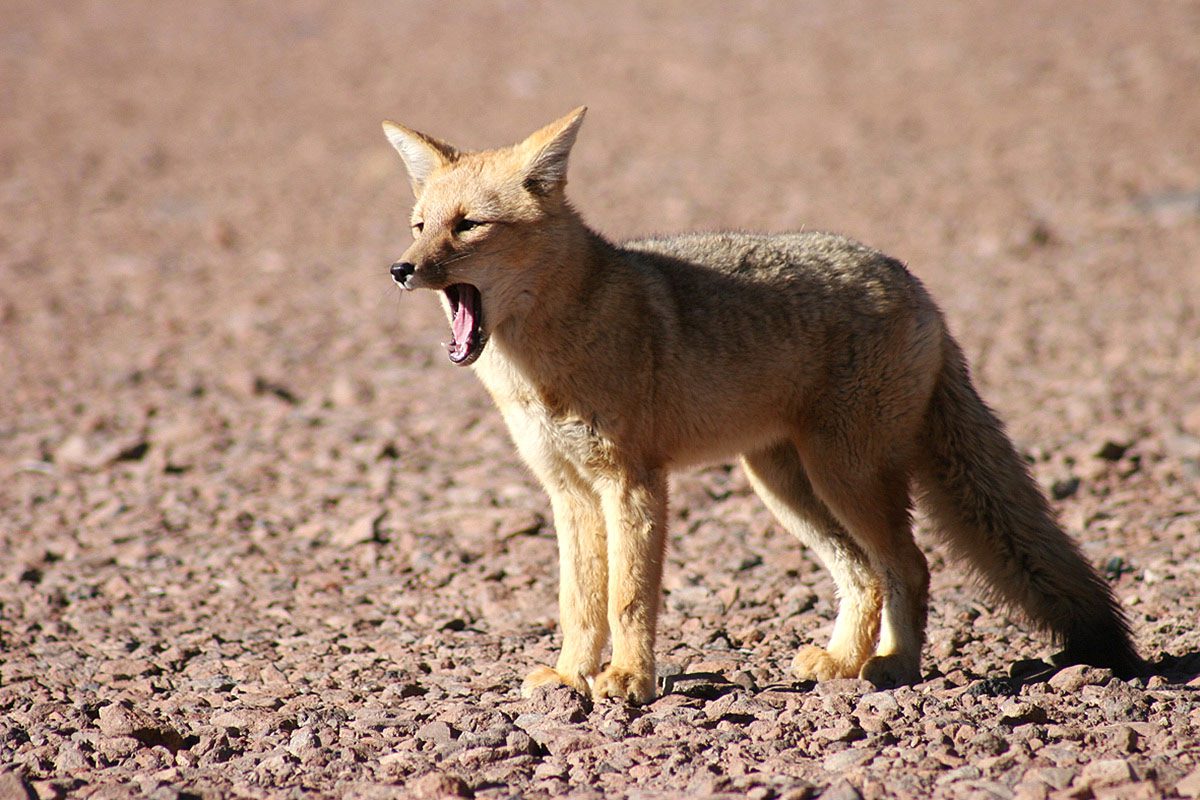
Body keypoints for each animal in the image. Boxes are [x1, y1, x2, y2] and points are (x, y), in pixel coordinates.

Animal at [379, 107, 1137, 705]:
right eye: (418, 225)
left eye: (468, 226)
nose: (399, 269)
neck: (542, 363)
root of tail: (910, 279)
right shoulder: (568, 493)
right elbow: (580, 601)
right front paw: (570, 678)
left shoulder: (633, 484)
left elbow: (628, 596)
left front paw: (628, 681)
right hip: (784, 485)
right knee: (864, 572)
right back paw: (844, 661)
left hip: (845, 477)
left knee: (910, 565)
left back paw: (894, 667)